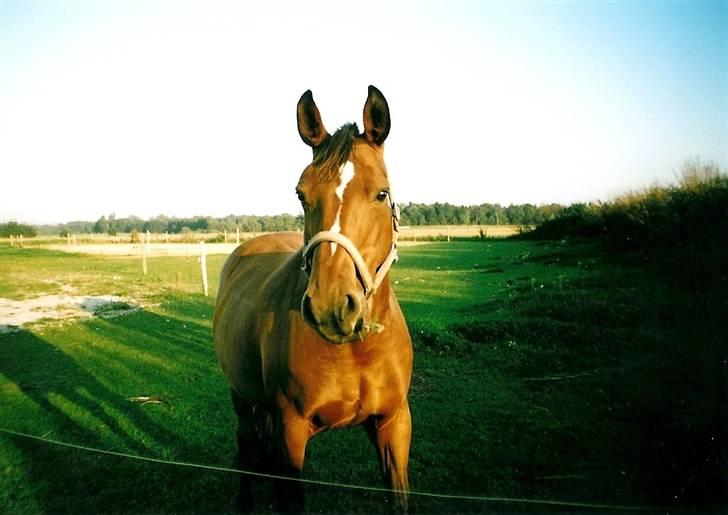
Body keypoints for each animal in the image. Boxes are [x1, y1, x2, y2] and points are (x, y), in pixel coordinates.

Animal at [213, 85, 412, 512]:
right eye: (301, 193)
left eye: (381, 193)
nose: (330, 307)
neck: (356, 351)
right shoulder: (290, 432)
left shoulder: (394, 426)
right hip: (242, 399)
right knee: (246, 450)